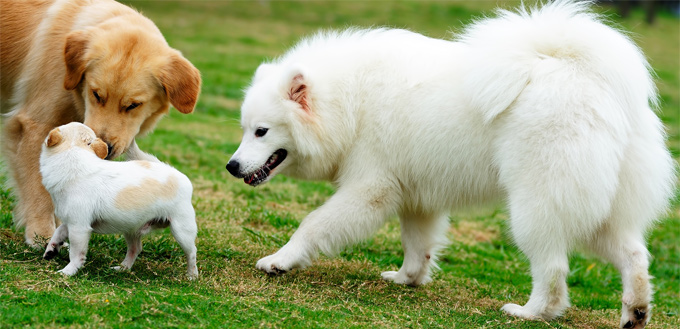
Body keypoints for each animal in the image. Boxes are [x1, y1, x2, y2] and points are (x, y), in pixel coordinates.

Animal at [41, 121, 198, 278]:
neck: (74, 152)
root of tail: (177, 173)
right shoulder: (71, 221)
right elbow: (59, 231)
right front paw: (51, 249)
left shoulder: (79, 227)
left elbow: (75, 253)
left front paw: (68, 271)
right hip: (132, 228)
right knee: (135, 249)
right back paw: (123, 268)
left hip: (182, 229)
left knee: (191, 253)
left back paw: (192, 276)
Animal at [227, 0, 676, 326]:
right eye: (244, 129)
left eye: (262, 132)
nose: (231, 166)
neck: (348, 101)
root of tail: (587, 77)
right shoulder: (414, 196)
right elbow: (418, 246)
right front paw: (407, 279)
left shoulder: (370, 189)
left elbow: (313, 223)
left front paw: (279, 261)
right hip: (601, 211)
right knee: (635, 256)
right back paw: (635, 312)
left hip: (536, 205)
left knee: (552, 269)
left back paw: (531, 312)